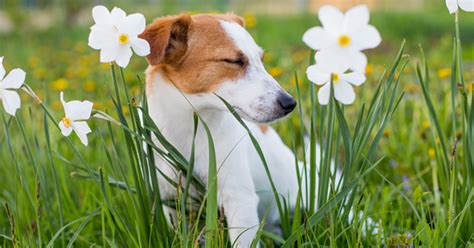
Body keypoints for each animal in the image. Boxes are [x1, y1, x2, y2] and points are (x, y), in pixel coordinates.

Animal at [141, 14, 304, 248]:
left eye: (261, 59)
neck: (190, 132)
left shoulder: (239, 199)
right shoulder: (169, 197)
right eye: (234, 61)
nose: (289, 103)